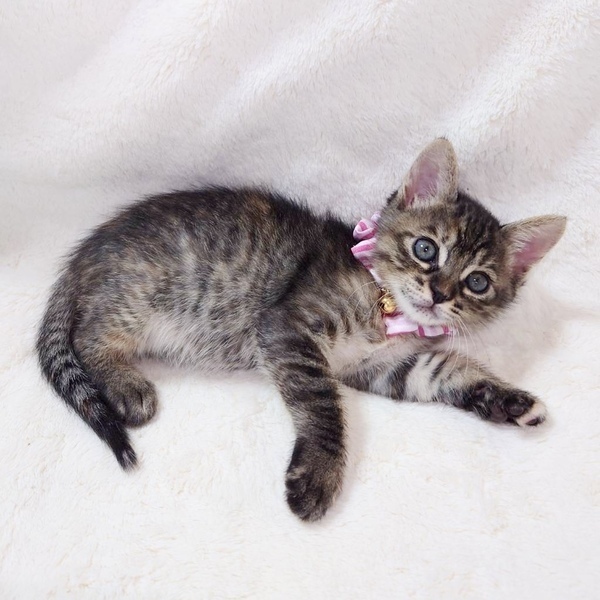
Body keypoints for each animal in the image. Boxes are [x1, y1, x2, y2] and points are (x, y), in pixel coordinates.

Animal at [36, 139, 566, 521]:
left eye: (478, 282)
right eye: (426, 249)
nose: (438, 293)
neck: (385, 307)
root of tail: (84, 254)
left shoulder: (390, 367)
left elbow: (449, 373)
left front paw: (512, 400)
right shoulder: (286, 327)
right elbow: (323, 404)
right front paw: (318, 476)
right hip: (141, 297)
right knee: (88, 336)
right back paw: (126, 384)